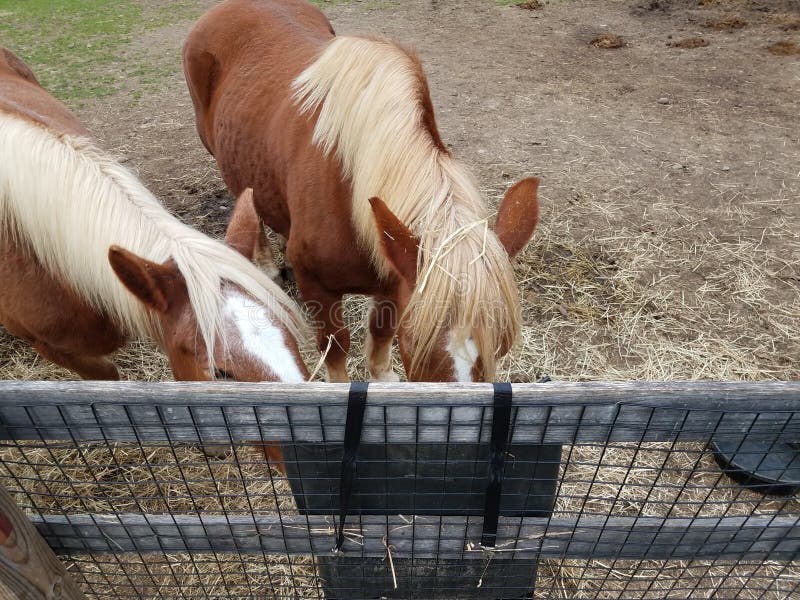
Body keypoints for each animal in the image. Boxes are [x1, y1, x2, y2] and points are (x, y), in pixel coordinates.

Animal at [183, 0, 540, 382]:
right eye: (416, 345)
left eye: (502, 345)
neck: (349, 195)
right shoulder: (319, 287)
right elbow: (335, 344)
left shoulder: (393, 277)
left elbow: (381, 330)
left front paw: (383, 377)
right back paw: (264, 263)